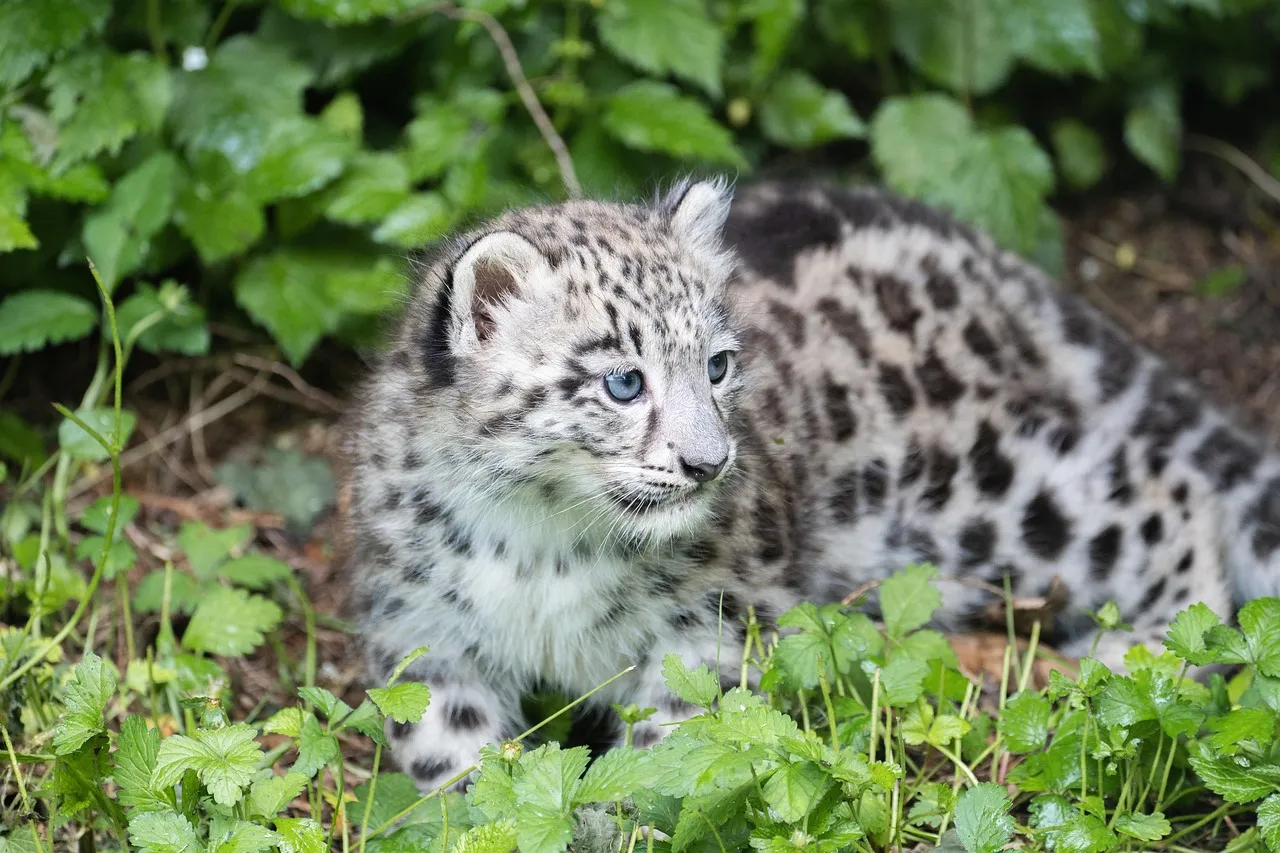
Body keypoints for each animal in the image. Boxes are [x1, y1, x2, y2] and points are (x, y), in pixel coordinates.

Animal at [345, 178, 1280, 792]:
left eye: (718, 365)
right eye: (623, 381)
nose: (708, 461)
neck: (542, 540)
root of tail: (988, 257)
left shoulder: (711, 626)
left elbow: (679, 750)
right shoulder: (424, 638)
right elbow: (457, 767)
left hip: (985, 480)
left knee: (1164, 494)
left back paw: (1143, 664)